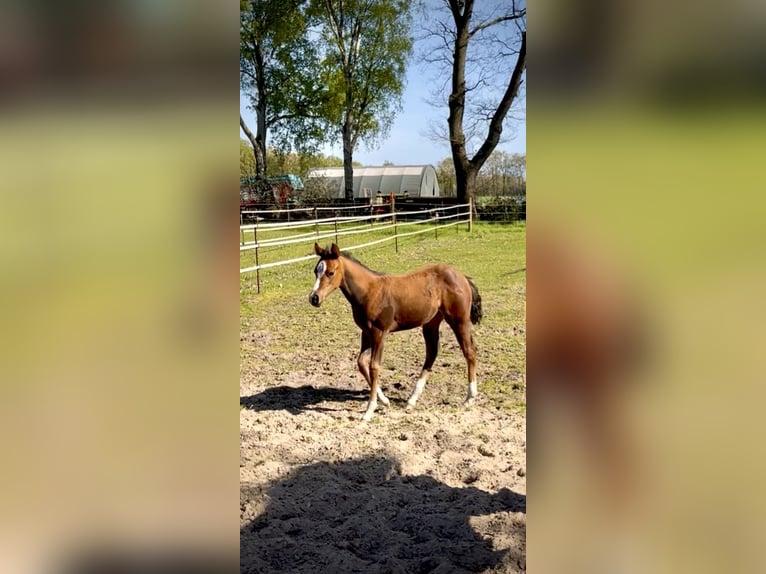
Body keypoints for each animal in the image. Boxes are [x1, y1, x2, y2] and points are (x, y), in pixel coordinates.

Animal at [309, 242, 483, 421]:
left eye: (330, 272)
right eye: (316, 271)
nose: (314, 298)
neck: (369, 292)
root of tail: (463, 277)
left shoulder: (380, 332)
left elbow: (374, 366)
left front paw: (369, 410)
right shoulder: (366, 332)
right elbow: (361, 363)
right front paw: (385, 401)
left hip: (459, 321)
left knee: (469, 351)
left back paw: (469, 398)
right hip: (431, 323)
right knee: (432, 353)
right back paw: (412, 400)